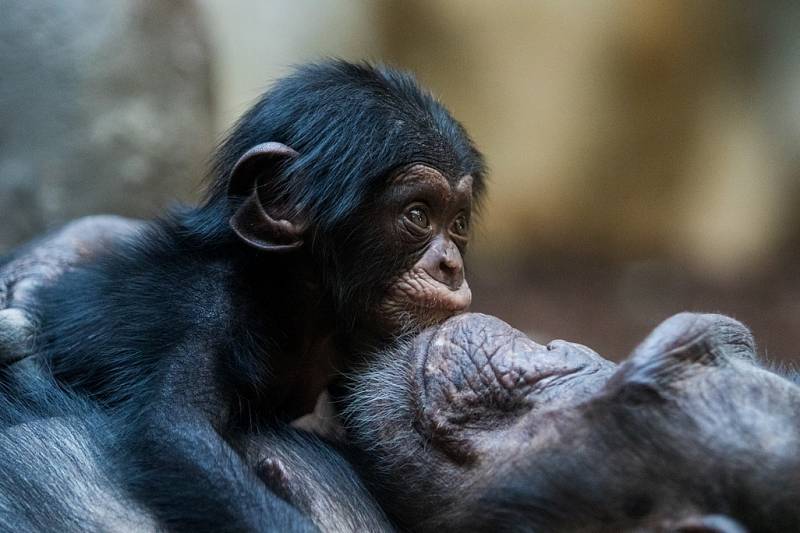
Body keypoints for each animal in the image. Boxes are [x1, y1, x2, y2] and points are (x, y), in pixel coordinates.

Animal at [0, 61, 484, 528]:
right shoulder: (204, 310)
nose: (450, 265)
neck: (292, 295)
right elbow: (177, 432)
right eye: (418, 215)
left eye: (458, 223)